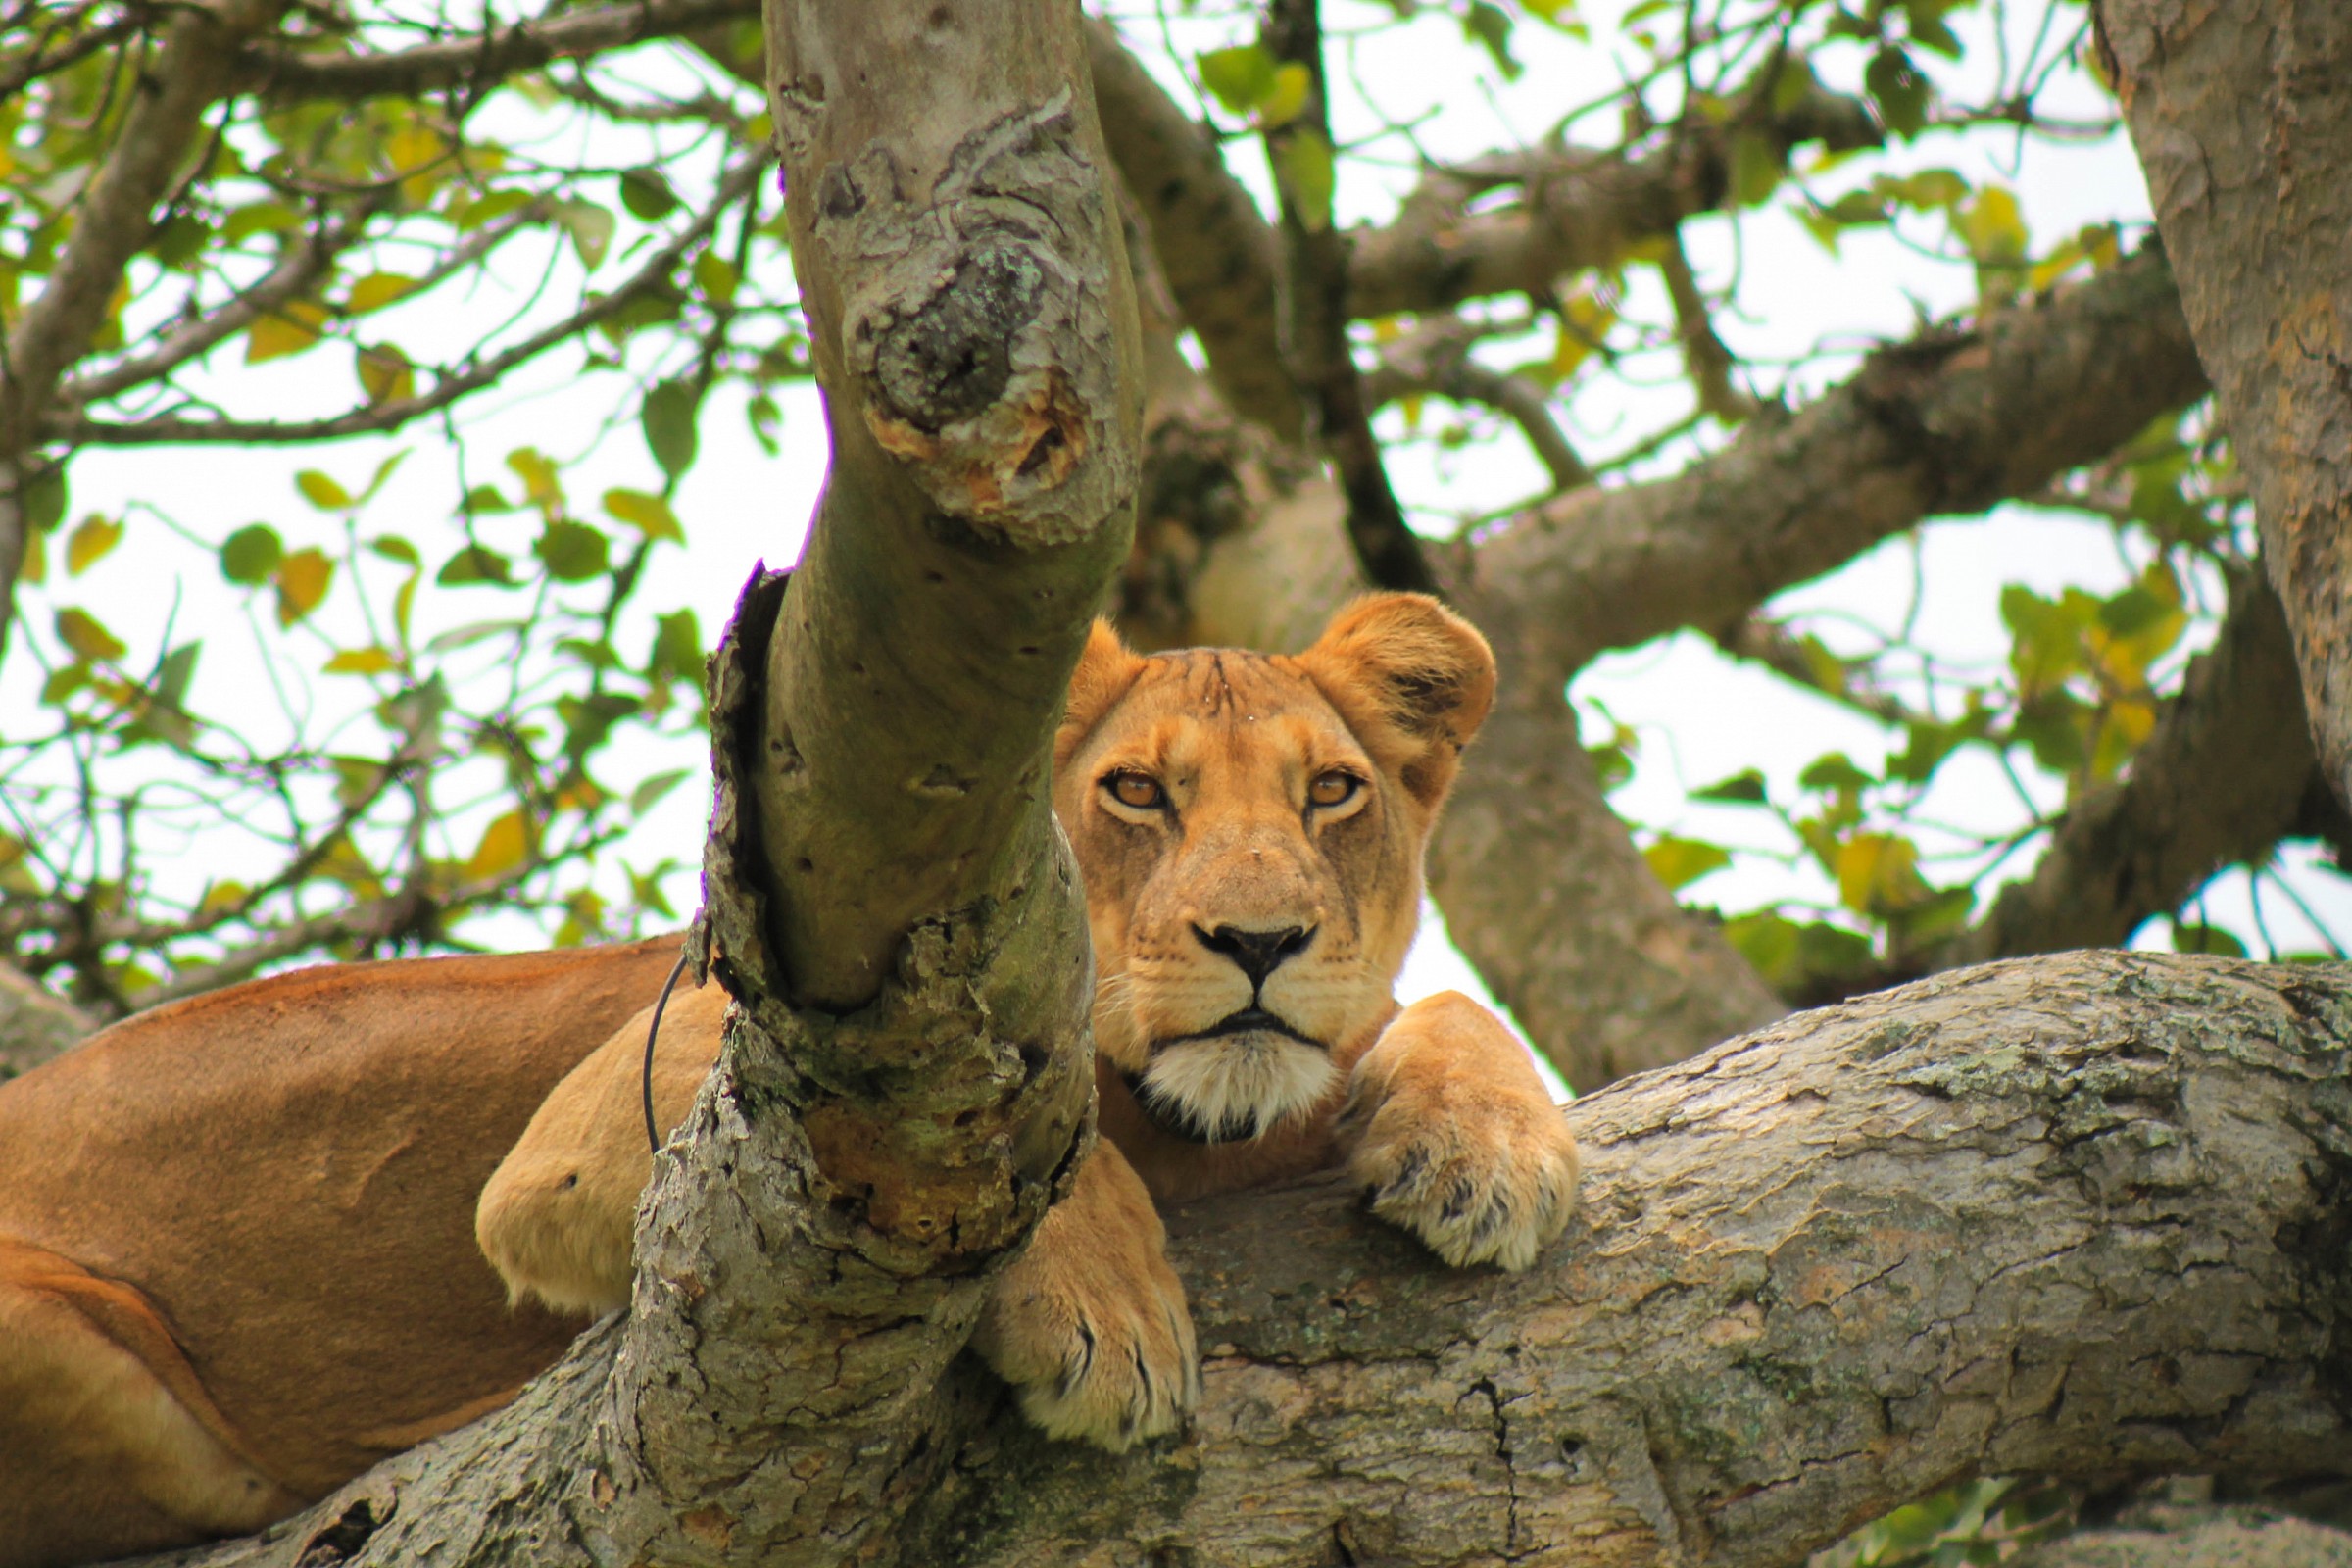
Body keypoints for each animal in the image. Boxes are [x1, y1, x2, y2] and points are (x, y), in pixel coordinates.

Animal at [0, 593, 1577, 1568]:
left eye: (1333, 792)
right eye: (1137, 791)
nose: (1259, 941)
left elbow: (1437, 1008)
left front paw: (1491, 1151)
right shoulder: (585, 1144)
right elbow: (1034, 1131)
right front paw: (1106, 1313)